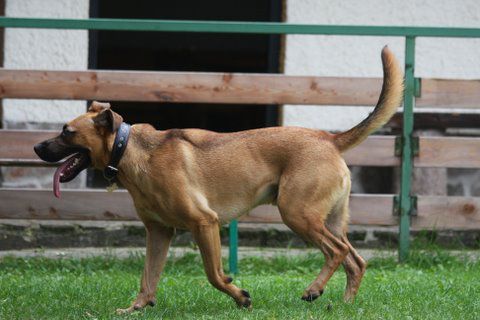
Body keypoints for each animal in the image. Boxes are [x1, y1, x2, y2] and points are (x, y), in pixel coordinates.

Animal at [32, 47, 402, 312]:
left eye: (66, 132)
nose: (36, 147)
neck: (131, 150)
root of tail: (329, 138)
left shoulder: (204, 223)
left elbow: (213, 275)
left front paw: (240, 296)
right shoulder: (159, 232)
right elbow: (148, 277)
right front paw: (136, 308)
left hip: (297, 212)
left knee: (337, 252)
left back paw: (314, 289)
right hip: (328, 218)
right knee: (355, 261)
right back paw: (343, 305)